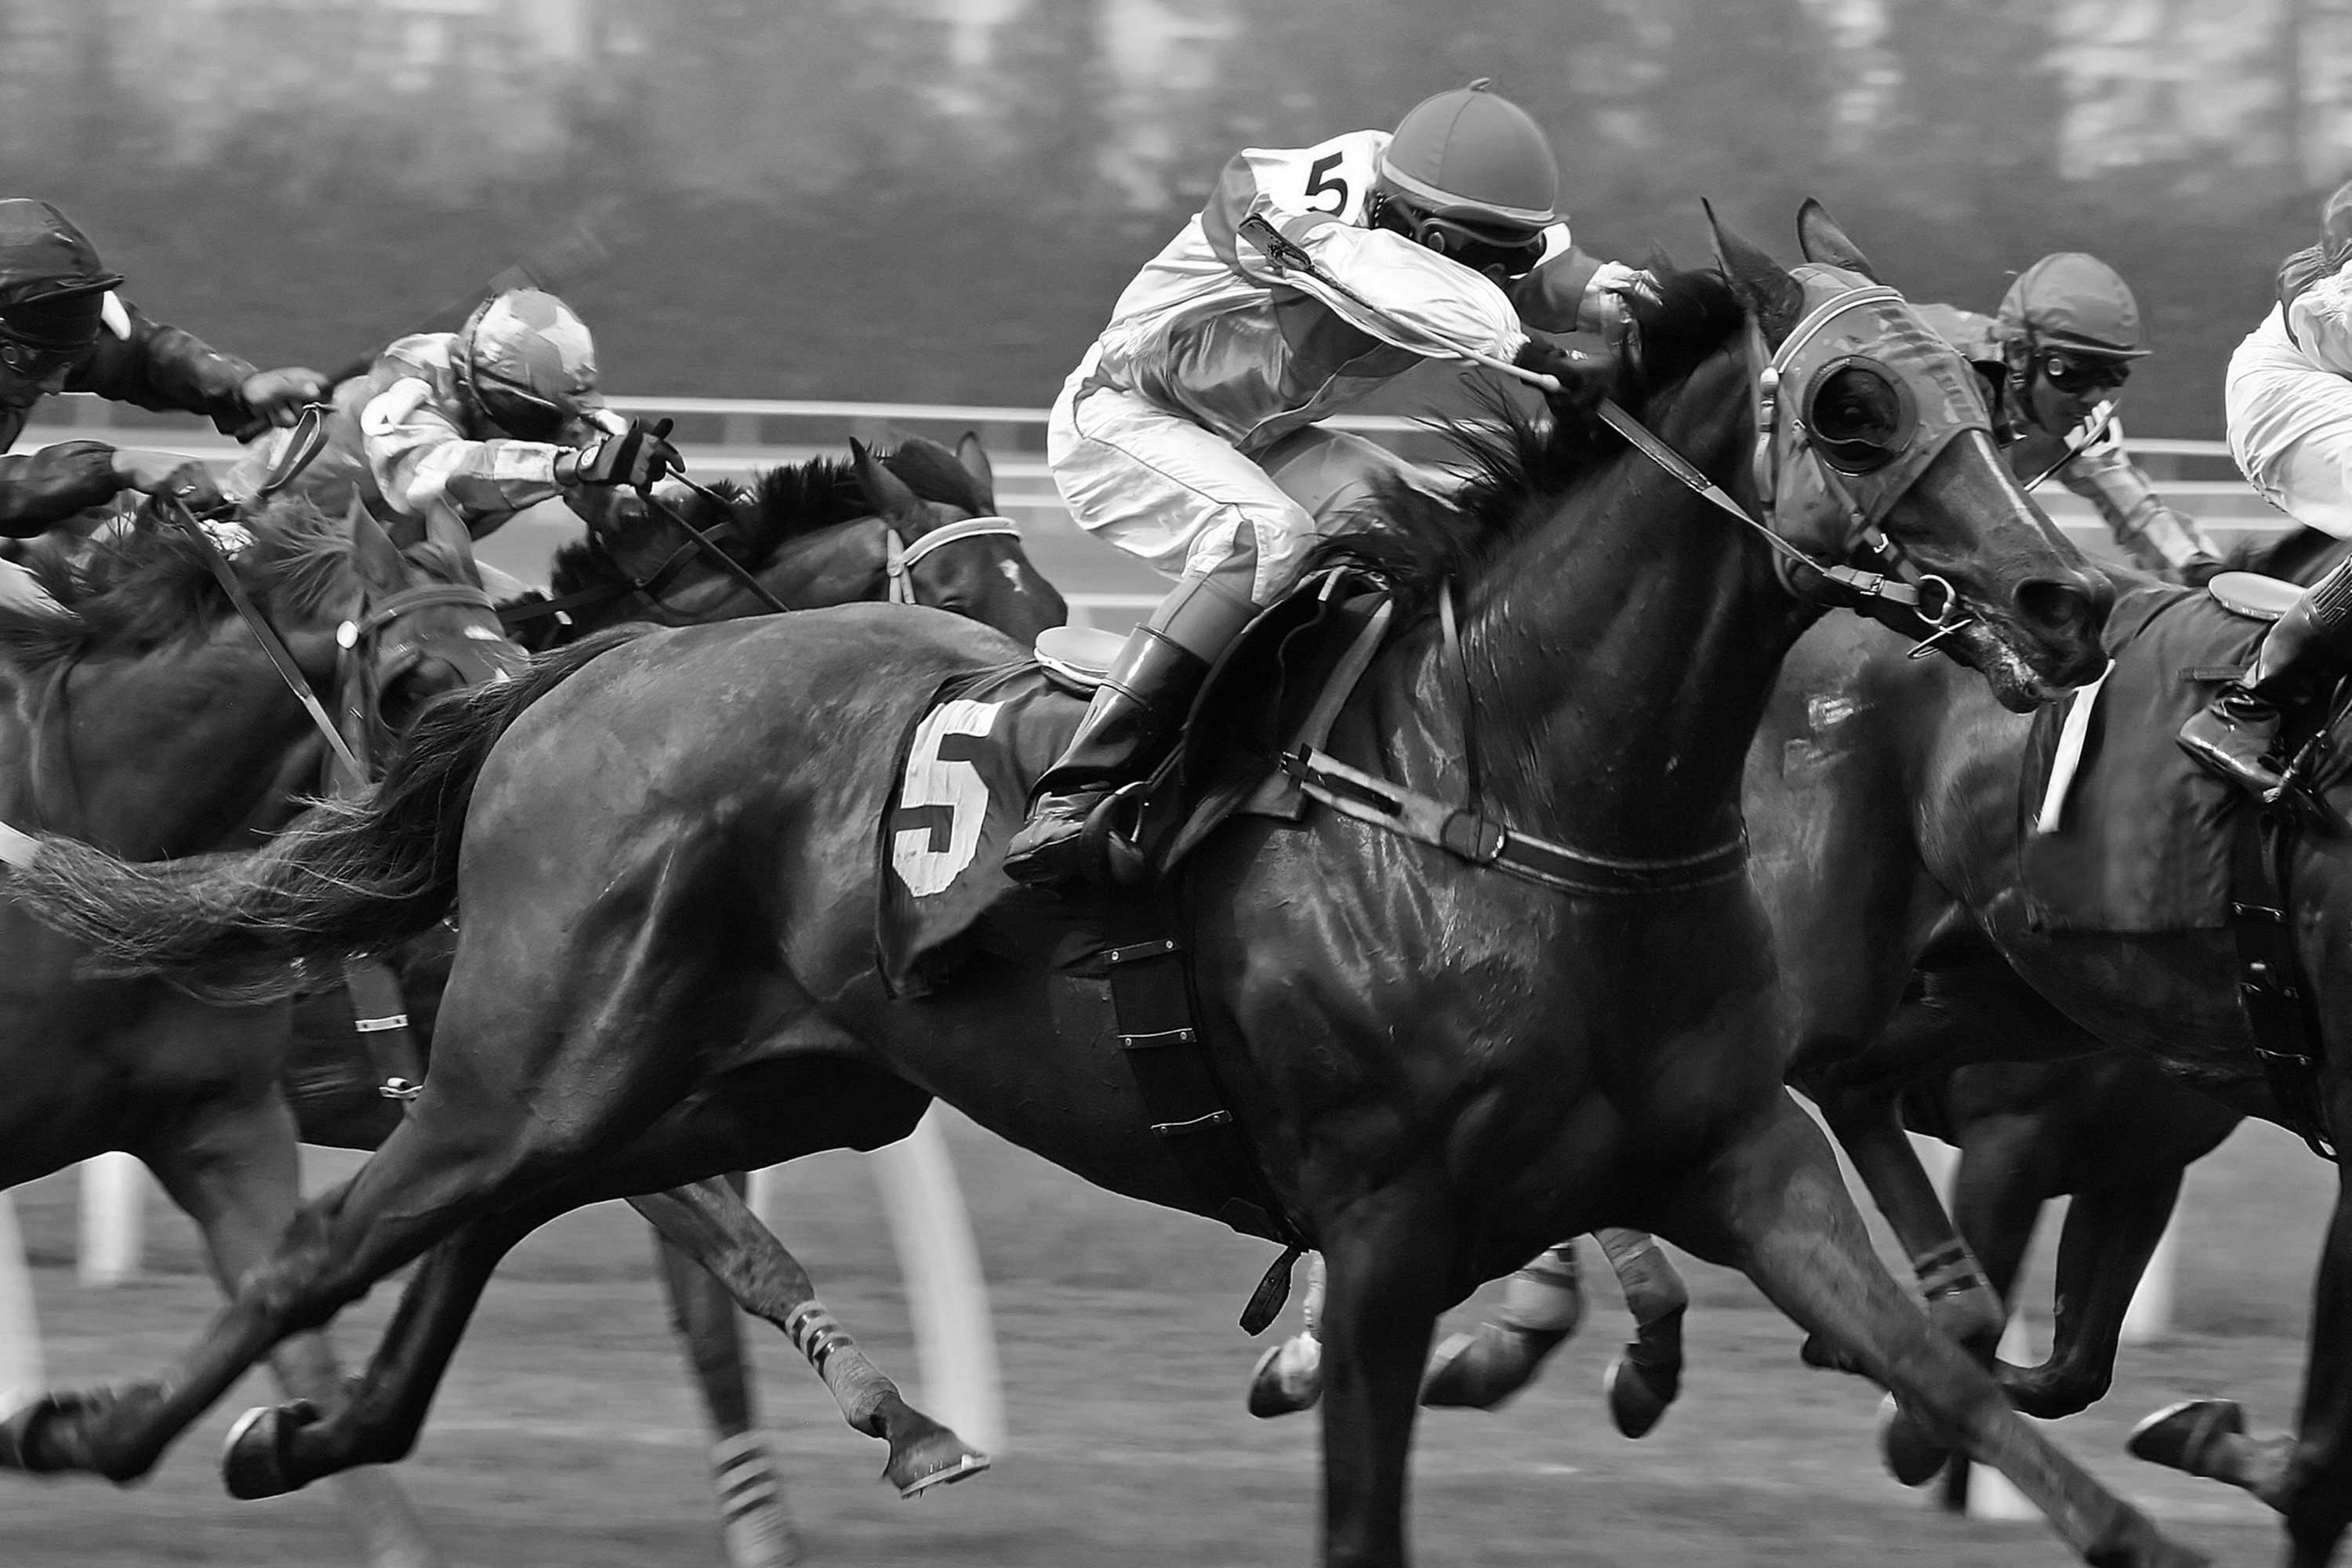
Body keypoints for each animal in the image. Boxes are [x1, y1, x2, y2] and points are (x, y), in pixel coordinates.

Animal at [0, 208, 2192, 1568]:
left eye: (1985, 394)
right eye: (1848, 404)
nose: (2059, 599)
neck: (1514, 787)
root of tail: (583, 673)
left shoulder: (1736, 1158)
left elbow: (1962, 1384)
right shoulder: (1385, 1228)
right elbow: (1365, 1487)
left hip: (746, 1076)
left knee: (523, 1220)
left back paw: (315, 1430)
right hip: (534, 1050)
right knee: (333, 1240)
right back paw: (111, 1427)